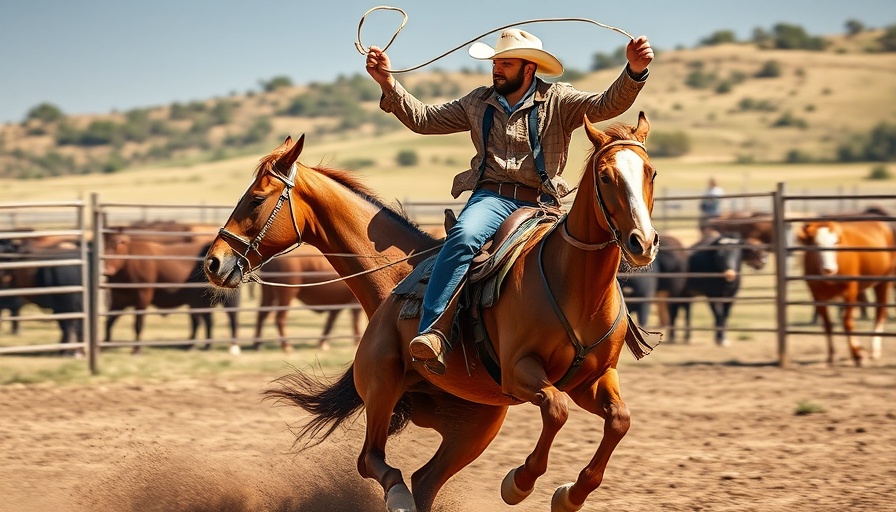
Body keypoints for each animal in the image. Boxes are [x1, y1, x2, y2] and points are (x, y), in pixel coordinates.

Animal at [103, 230, 242, 354]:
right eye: (104, 246)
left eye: (118, 244)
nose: (106, 270)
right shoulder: (118, 299)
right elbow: (109, 321)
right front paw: (105, 344)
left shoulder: (143, 296)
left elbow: (138, 324)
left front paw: (136, 350)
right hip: (200, 301)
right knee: (206, 320)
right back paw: (202, 346)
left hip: (227, 300)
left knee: (232, 317)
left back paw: (232, 346)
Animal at [206, 113, 660, 512]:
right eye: (606, 176)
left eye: (650, 173)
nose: (214, 261)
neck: (573, 281)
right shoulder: (520, 371)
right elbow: (556, 408)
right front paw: (519, 482)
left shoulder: (593, 378)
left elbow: (618, 419)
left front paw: (570, 494)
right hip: (384, 385)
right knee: (372, 461)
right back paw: (399, 496)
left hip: (473, 427)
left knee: (423, 480)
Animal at [800, 219, 896, 364]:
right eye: (816, 244)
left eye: (835, 242)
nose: (829, 269)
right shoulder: (817, 295)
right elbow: (827, 324)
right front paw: (831, 355)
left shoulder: (850, 291)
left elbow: (848, 323)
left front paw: (858, 354)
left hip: (884, 281)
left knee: (880, 312)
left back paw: (875, 350)